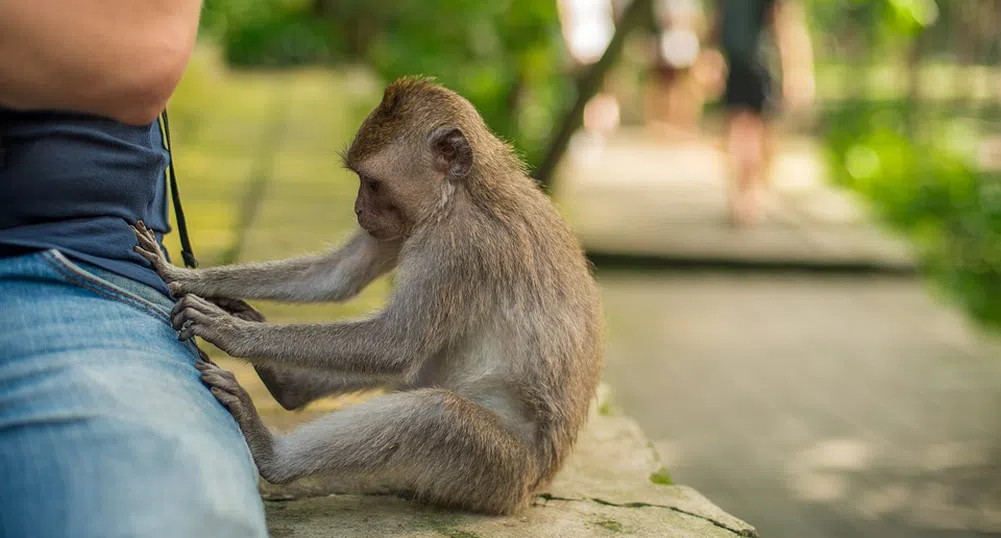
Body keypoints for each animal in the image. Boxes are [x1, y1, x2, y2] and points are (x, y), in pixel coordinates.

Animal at [132, 75, 600, 510]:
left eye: (372, 183)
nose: (358, 210)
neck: (458, 193)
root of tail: (533, 488)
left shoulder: (460, 247)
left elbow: (395, 344)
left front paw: (230, 333)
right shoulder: (406, 226)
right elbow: (340, 275)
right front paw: (190, 278)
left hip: (498, 473)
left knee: (435, 414)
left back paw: (273, 455)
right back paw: (287, 385)